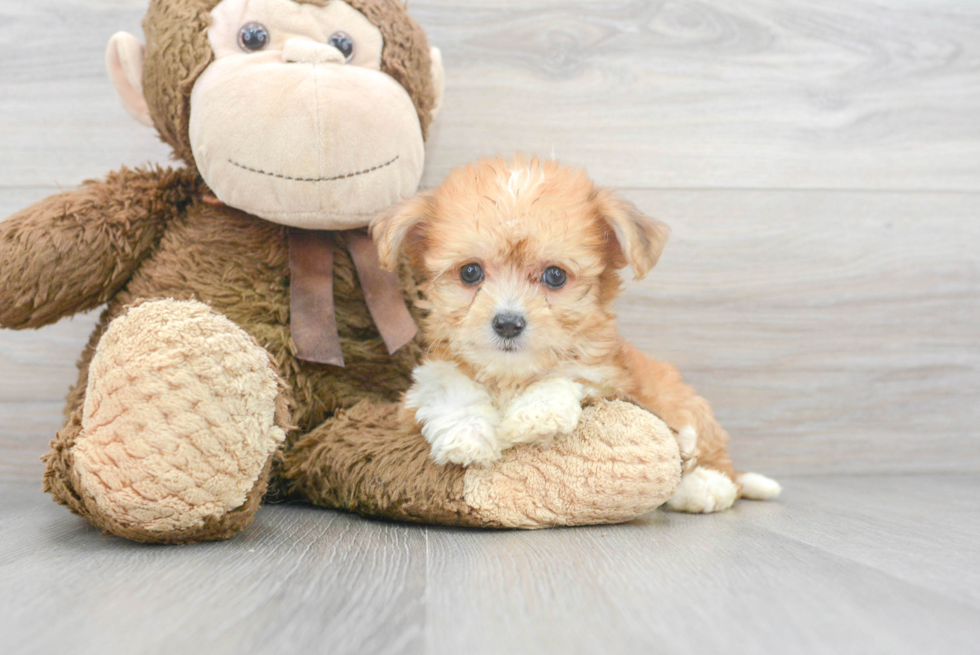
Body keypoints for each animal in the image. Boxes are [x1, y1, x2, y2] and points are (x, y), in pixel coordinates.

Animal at [370, 154, 780, 512]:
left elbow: (571, 375)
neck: (510, 376)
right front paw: (468, 435)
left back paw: (705, 486)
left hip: (681, 403)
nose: (508, 322)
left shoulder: (610, 379)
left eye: (555, 276)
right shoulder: (416, 397)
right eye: (470, 272)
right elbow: (445, 383)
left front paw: (536, 413)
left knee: (709, 456)